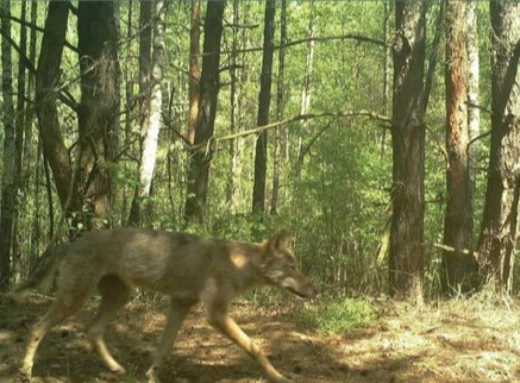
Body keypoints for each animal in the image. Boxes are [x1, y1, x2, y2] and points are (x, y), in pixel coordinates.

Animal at [10, 230, 314, 383]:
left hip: (120, 296)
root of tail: (70, 243)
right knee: (37, 327)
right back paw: (25, 371)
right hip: (75, 298)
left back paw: (116, 369)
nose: (316, 289)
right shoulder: (215, 314)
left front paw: (151, 376)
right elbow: (256, 347)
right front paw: (278, 376)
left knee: (93, 330)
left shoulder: (180, 305)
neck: (237, 264)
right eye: (292, 268)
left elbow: (163, 348)